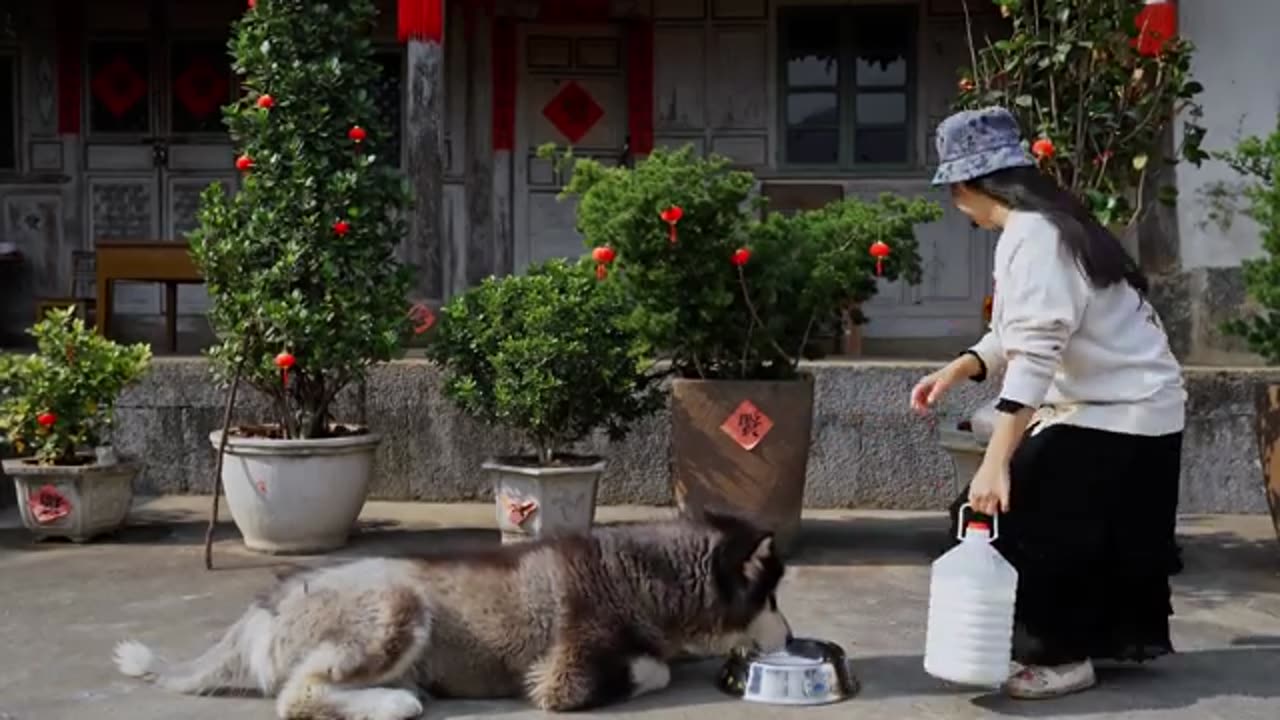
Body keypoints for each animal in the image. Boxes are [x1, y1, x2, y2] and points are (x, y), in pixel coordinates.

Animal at [112, 507, 788, 712]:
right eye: (773, 598)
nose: (788, 635)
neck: (639, 575)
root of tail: (264, 606)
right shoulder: (565, 676)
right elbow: (654, 668)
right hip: (396, 606)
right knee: (297, 697)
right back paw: (395, 702)